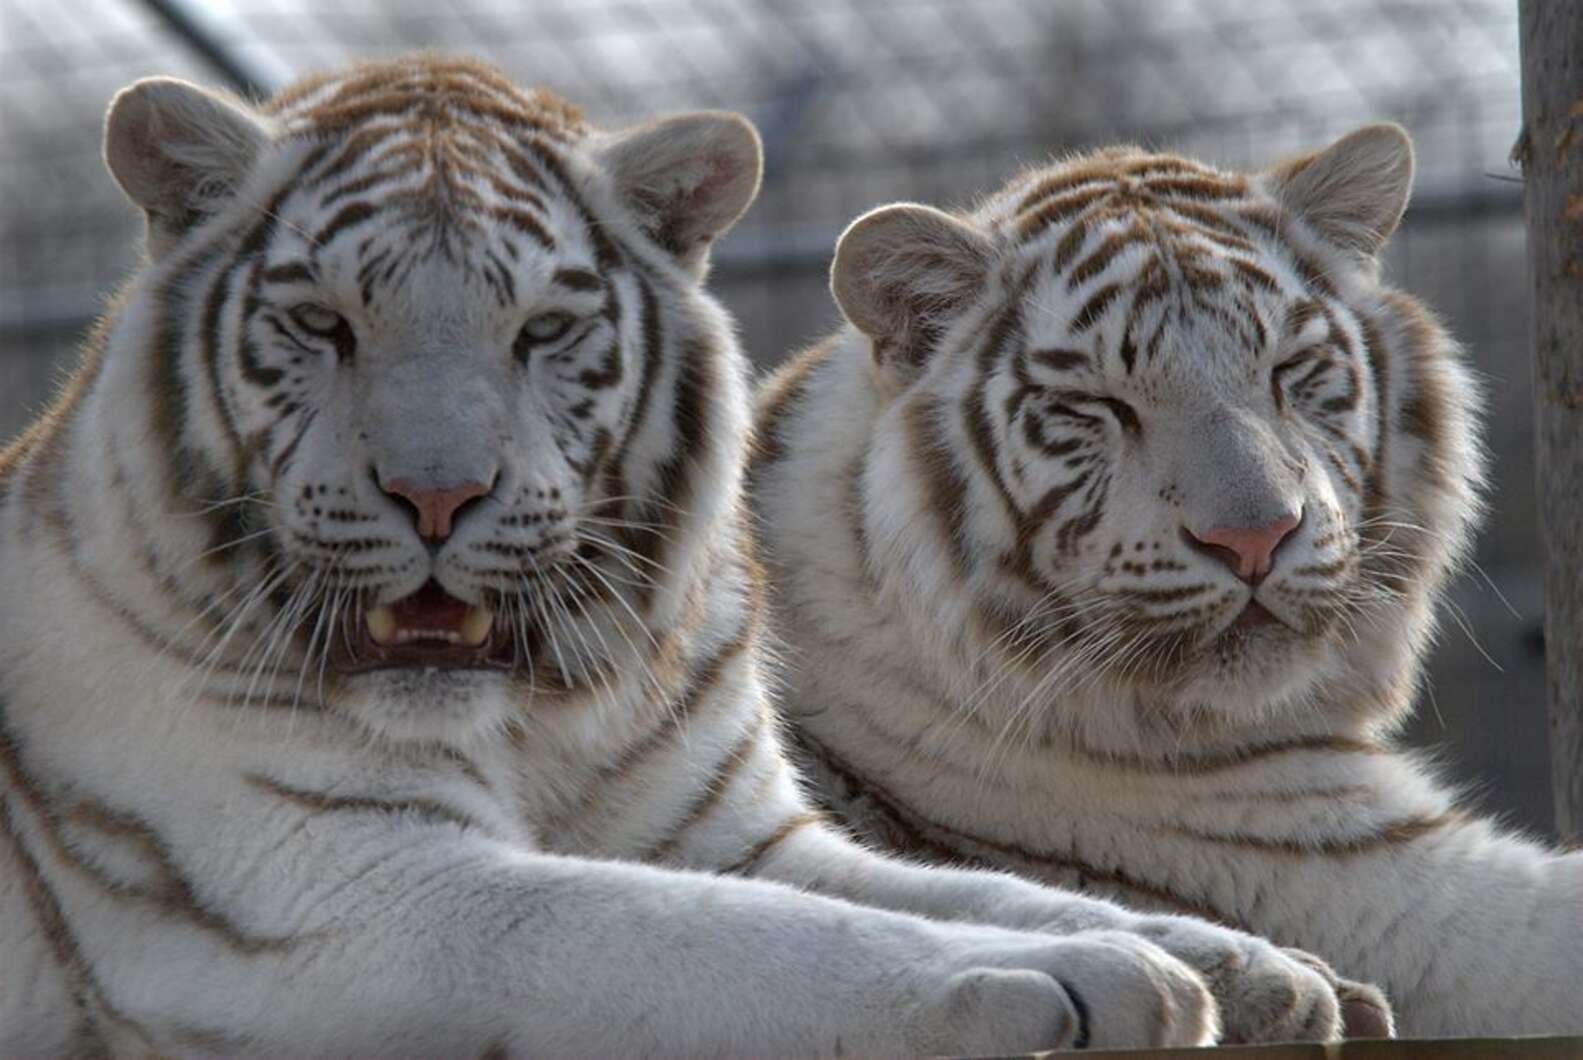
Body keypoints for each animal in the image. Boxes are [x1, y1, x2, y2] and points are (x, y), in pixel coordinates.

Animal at [0, 56, 1374, 1056]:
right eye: (320, 325)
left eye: (541, 332)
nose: (437, 497)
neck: (537, 707)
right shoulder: (336, 884)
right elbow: (706, 931)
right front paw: (1068, 977)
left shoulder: (733, 833)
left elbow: (964, 884)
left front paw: (1249, 968)